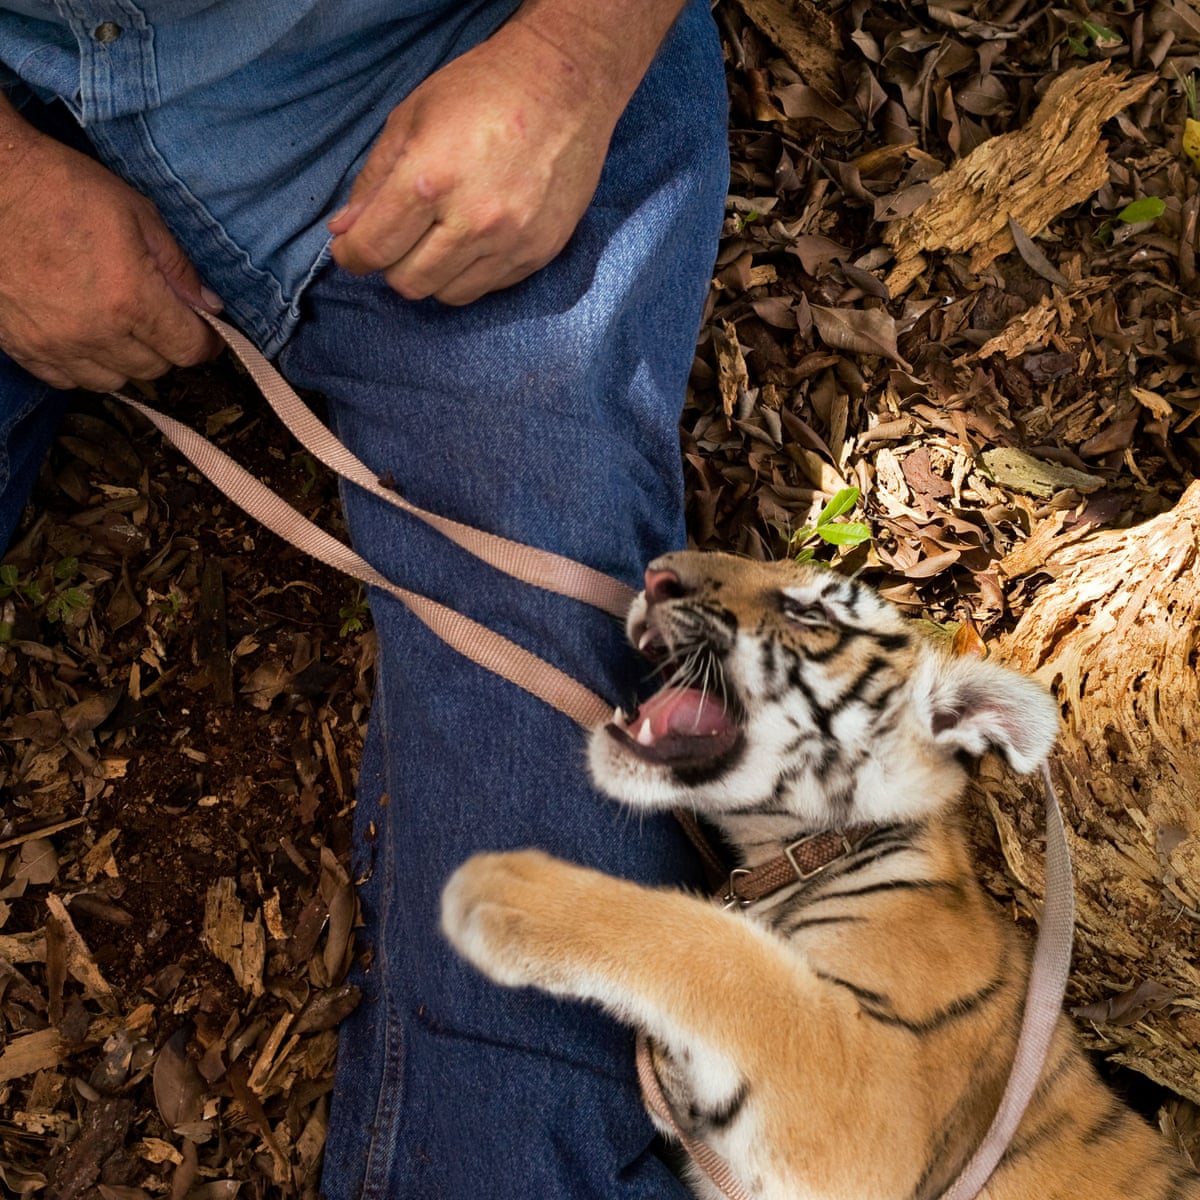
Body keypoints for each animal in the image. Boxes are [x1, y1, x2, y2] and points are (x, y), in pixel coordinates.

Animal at [441, 549, 1200, 1200]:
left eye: (812, 613)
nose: (656, 576)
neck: (793, 855)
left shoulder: (865, 1098)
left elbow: (726, 960)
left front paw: (506, 891)